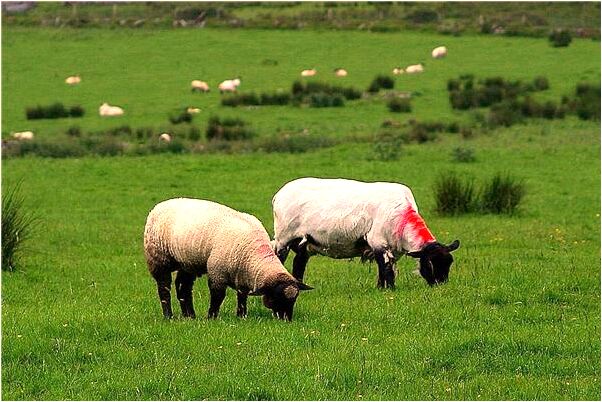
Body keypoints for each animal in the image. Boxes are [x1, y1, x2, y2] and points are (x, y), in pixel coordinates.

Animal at [143, 198, 312, 320]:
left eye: (294, 299)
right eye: (278, 297)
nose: (287, 320)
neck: (254, 254)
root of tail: (159, 206)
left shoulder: (243, 275)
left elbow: (242, 296)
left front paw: (241, 316)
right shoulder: (217, 273)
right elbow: (217, 297)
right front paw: (211, 317)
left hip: (187, 262)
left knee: (183, 287)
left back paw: (189, 316)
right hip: (158, 259)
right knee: (164, 288)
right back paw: (168, 316)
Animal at [270, 177, 458, 288]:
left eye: (449, 263)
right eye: (431, 264)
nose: (441, 285)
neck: (403, 218)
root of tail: (279, 194)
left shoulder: (391, 248)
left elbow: (385, 268)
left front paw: (381, 288)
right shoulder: (378, 242)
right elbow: (386, 268)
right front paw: (390, 289)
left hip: (304, 242)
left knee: (299, 263)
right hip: (284, 237)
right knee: (279, 258)